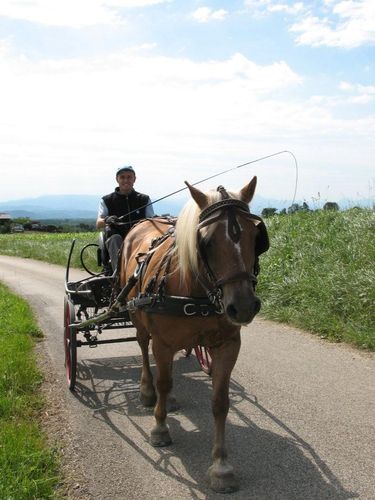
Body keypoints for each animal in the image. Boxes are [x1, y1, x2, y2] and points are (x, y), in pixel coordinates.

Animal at [119, 176, 268, 492]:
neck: (195, 290)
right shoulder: (162, 342)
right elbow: (163, 381)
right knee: (144, 349)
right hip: (137, 318)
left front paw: (221, 467)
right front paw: (159, 427)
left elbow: (220, 402)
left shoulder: (228, 345)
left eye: (256, 236)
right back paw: (148, 391)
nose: (243, 307)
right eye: (207, 242)